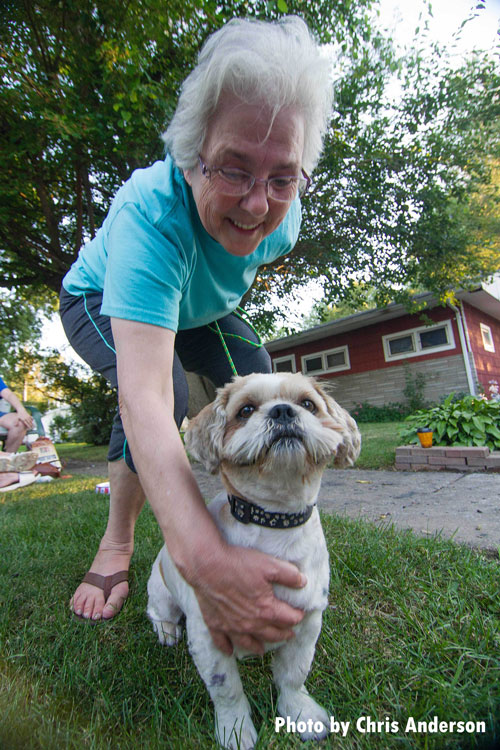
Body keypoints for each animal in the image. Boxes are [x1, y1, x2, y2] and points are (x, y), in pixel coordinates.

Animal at [146, 374, 362, 748]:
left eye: (308, 404)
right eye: (245, 410)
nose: (282, 410)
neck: (272, 523)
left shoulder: (306, 625)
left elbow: (293, 675)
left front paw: (300, 712)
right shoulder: (209, 637)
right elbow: (227, 690)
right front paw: (235, 729)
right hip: (161, 592)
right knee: (158, 611)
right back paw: (166, 630)